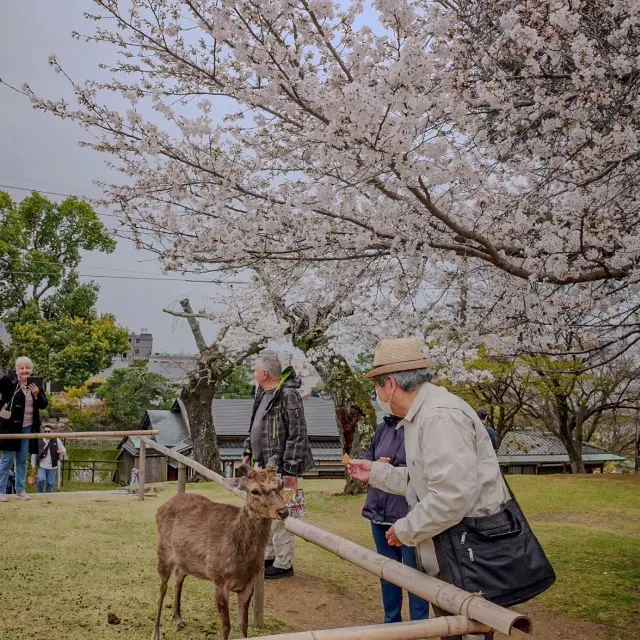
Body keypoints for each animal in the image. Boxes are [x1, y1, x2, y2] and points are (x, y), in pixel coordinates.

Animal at [152, 456, 288, 640]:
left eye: (281, 483)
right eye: (254, 491)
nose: (283, 511)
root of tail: (161, 506)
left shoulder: (249, 583)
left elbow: (244, 625)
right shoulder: (219, 580)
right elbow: (226, 627)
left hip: (186, 559)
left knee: (179, 576)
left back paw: (178, 618)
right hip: (163, 551)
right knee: (161, 588)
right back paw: (156, 632)